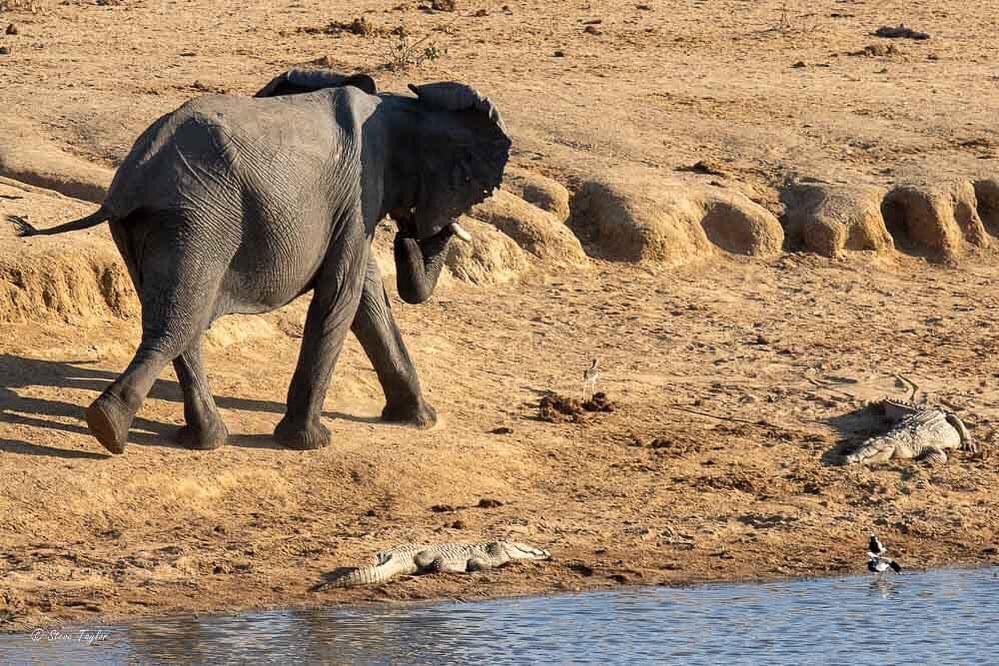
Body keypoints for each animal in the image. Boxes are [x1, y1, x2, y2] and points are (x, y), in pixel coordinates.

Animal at [13, 70, 516, 454]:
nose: (414, 231)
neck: (399, 103)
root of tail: (129, 183)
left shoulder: (352, 210)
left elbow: (367, 301)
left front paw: (419, 420)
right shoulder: (358, 193)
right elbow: (342, 297)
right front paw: (311, 444)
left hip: (157, 227)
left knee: (180, 322)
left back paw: (194, 439)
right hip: (200, 218)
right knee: (178, 324)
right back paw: (113, 430)